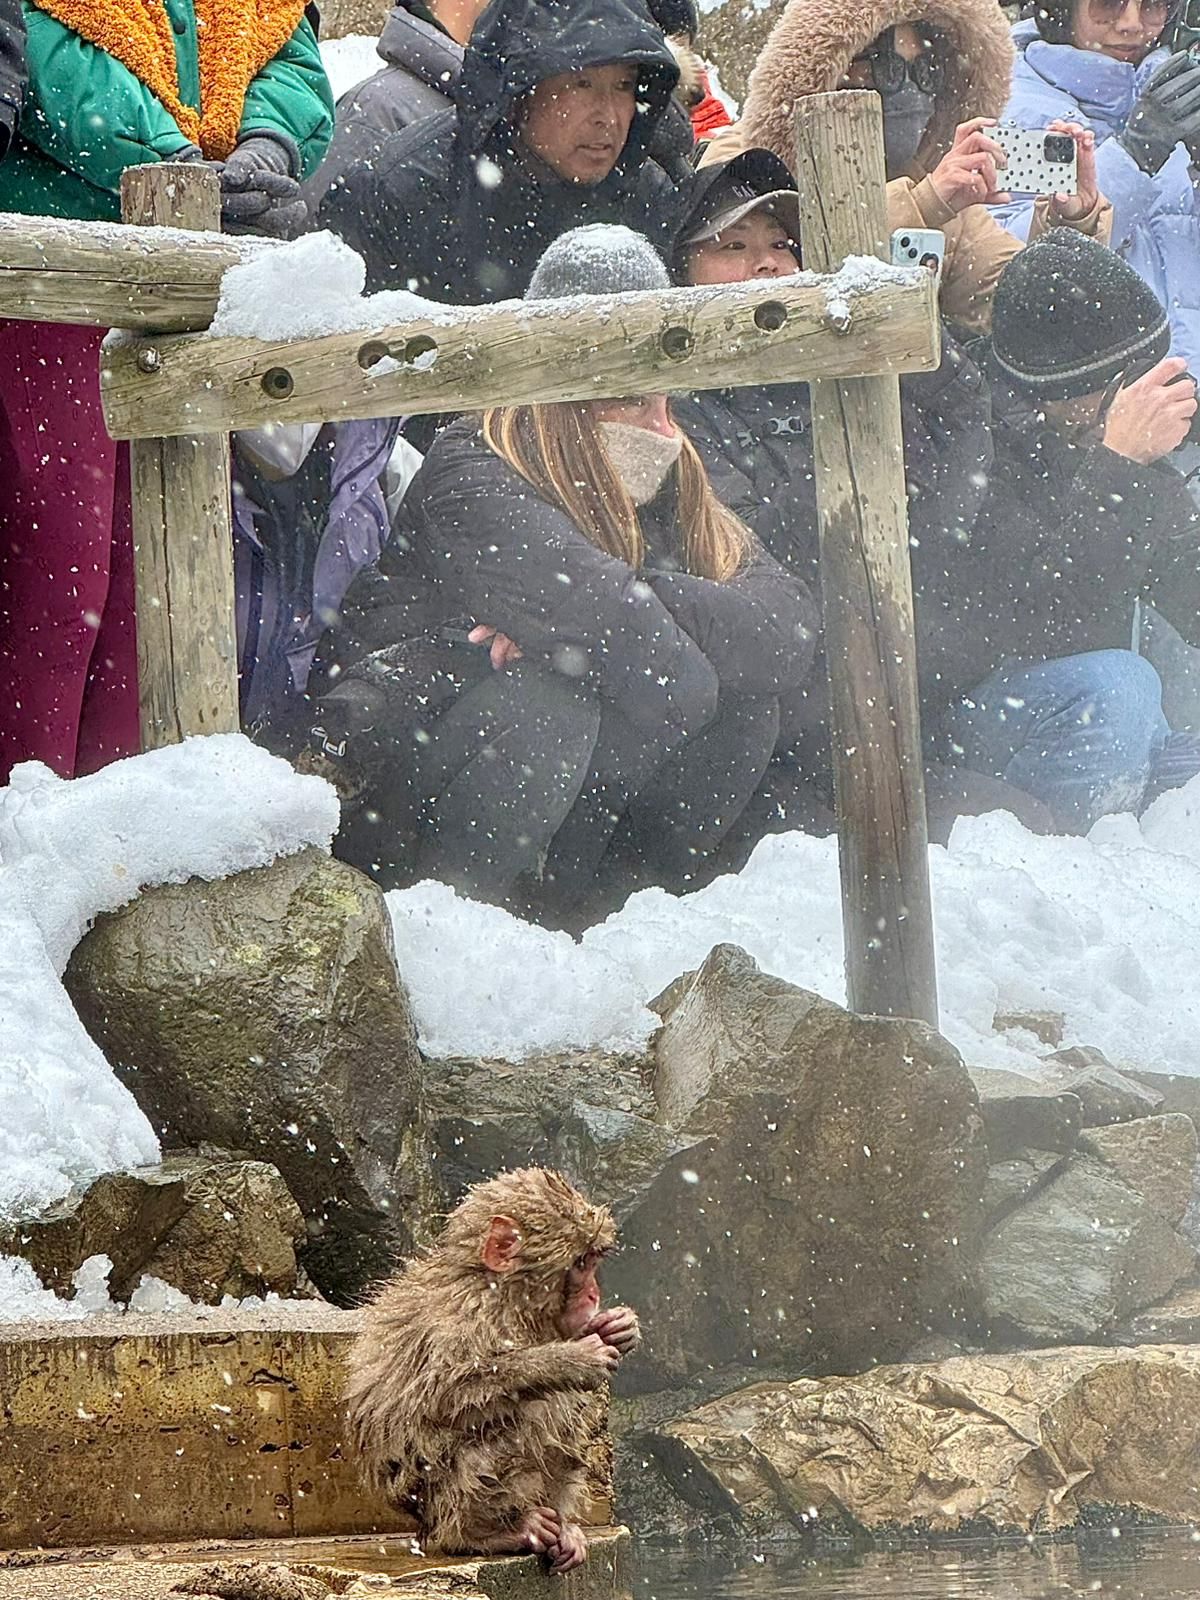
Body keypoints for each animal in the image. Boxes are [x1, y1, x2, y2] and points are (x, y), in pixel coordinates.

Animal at [344, 1167, 640, 1574]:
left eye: (593, 1260)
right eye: (581, 1264)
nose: (594, 1294)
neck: (502, 1293)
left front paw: (620, 1327)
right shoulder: (467, 1318)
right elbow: (443, 1395)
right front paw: (568, 1359)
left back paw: (563, 1529)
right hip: (436, 1497)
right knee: (507, 1423)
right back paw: (482, 1534)